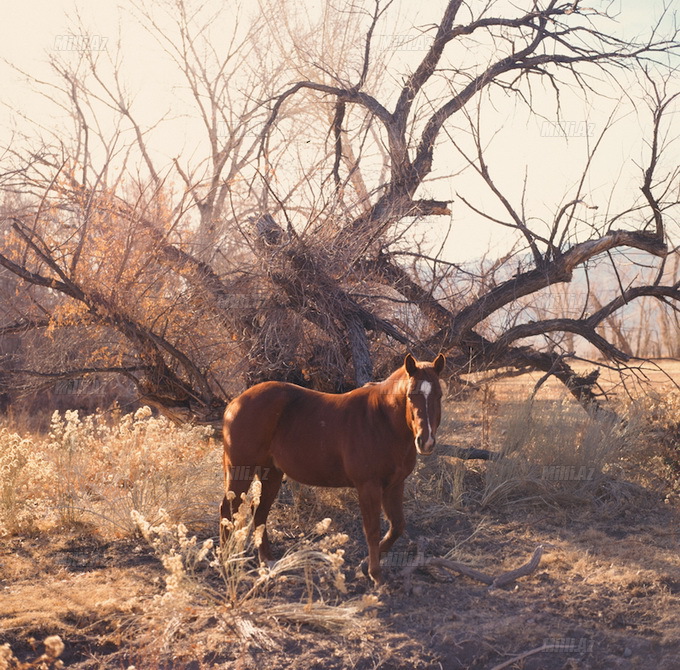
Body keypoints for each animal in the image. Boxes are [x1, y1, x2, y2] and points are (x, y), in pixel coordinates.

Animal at [220, 354, 446, 584]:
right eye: (410, 395)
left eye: (439, 395)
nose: (426, 441)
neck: (381, 421)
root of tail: (235, 403)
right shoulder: (369, 487)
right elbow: (372, 531)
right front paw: (375, 574)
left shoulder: (395, 485)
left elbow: (397, 526)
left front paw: (364, 565)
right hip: (241, 470)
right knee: (228, 511)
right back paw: (226, 563)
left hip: (271, 474)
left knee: (260, 512)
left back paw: (268, 561)